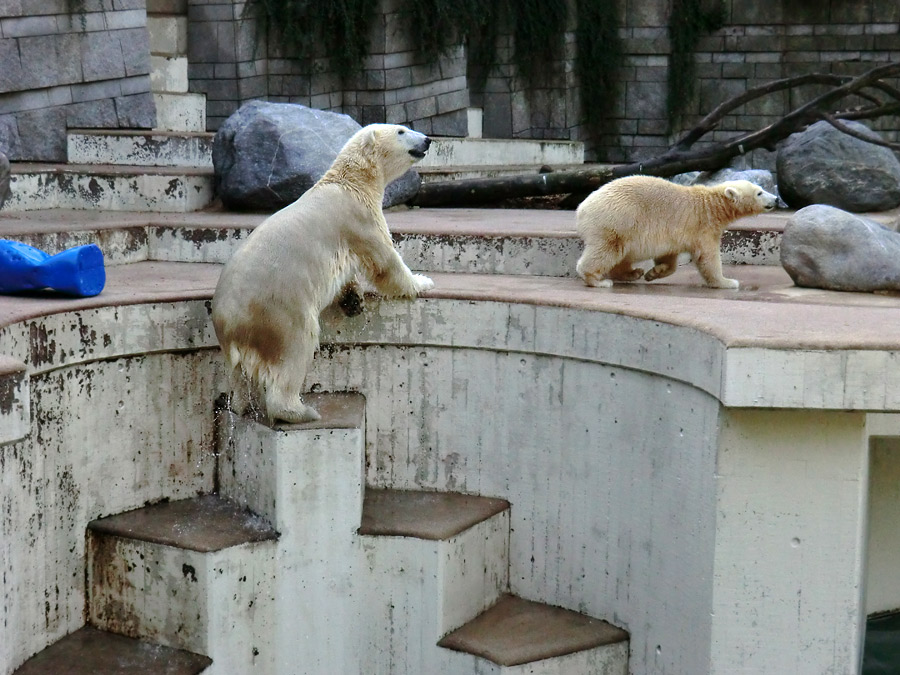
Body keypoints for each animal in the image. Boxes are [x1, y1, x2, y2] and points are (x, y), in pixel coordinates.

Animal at [213, 123, 434, 422]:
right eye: (401, 130)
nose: (427, 139)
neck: (349, 182)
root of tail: (230, 322)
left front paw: (353, 300)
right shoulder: (359, 218)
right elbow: (384, 262)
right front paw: (422, 281)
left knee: (240, 374)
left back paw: (241, 405)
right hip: (278, 312)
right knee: (294, 352)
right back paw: (300, 411)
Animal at [576, 176, 780, 290]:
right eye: (759, 192)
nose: (776, 199)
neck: (711, 205)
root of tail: (581, 208)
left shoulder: (672, 233)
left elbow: (669, 258)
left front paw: (654, 272)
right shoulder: (703, 227)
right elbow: (708, 258)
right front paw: (728, 282)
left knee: (622, 256)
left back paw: (634, 273)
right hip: (618, 222)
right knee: (607, 251)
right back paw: (598, 281)